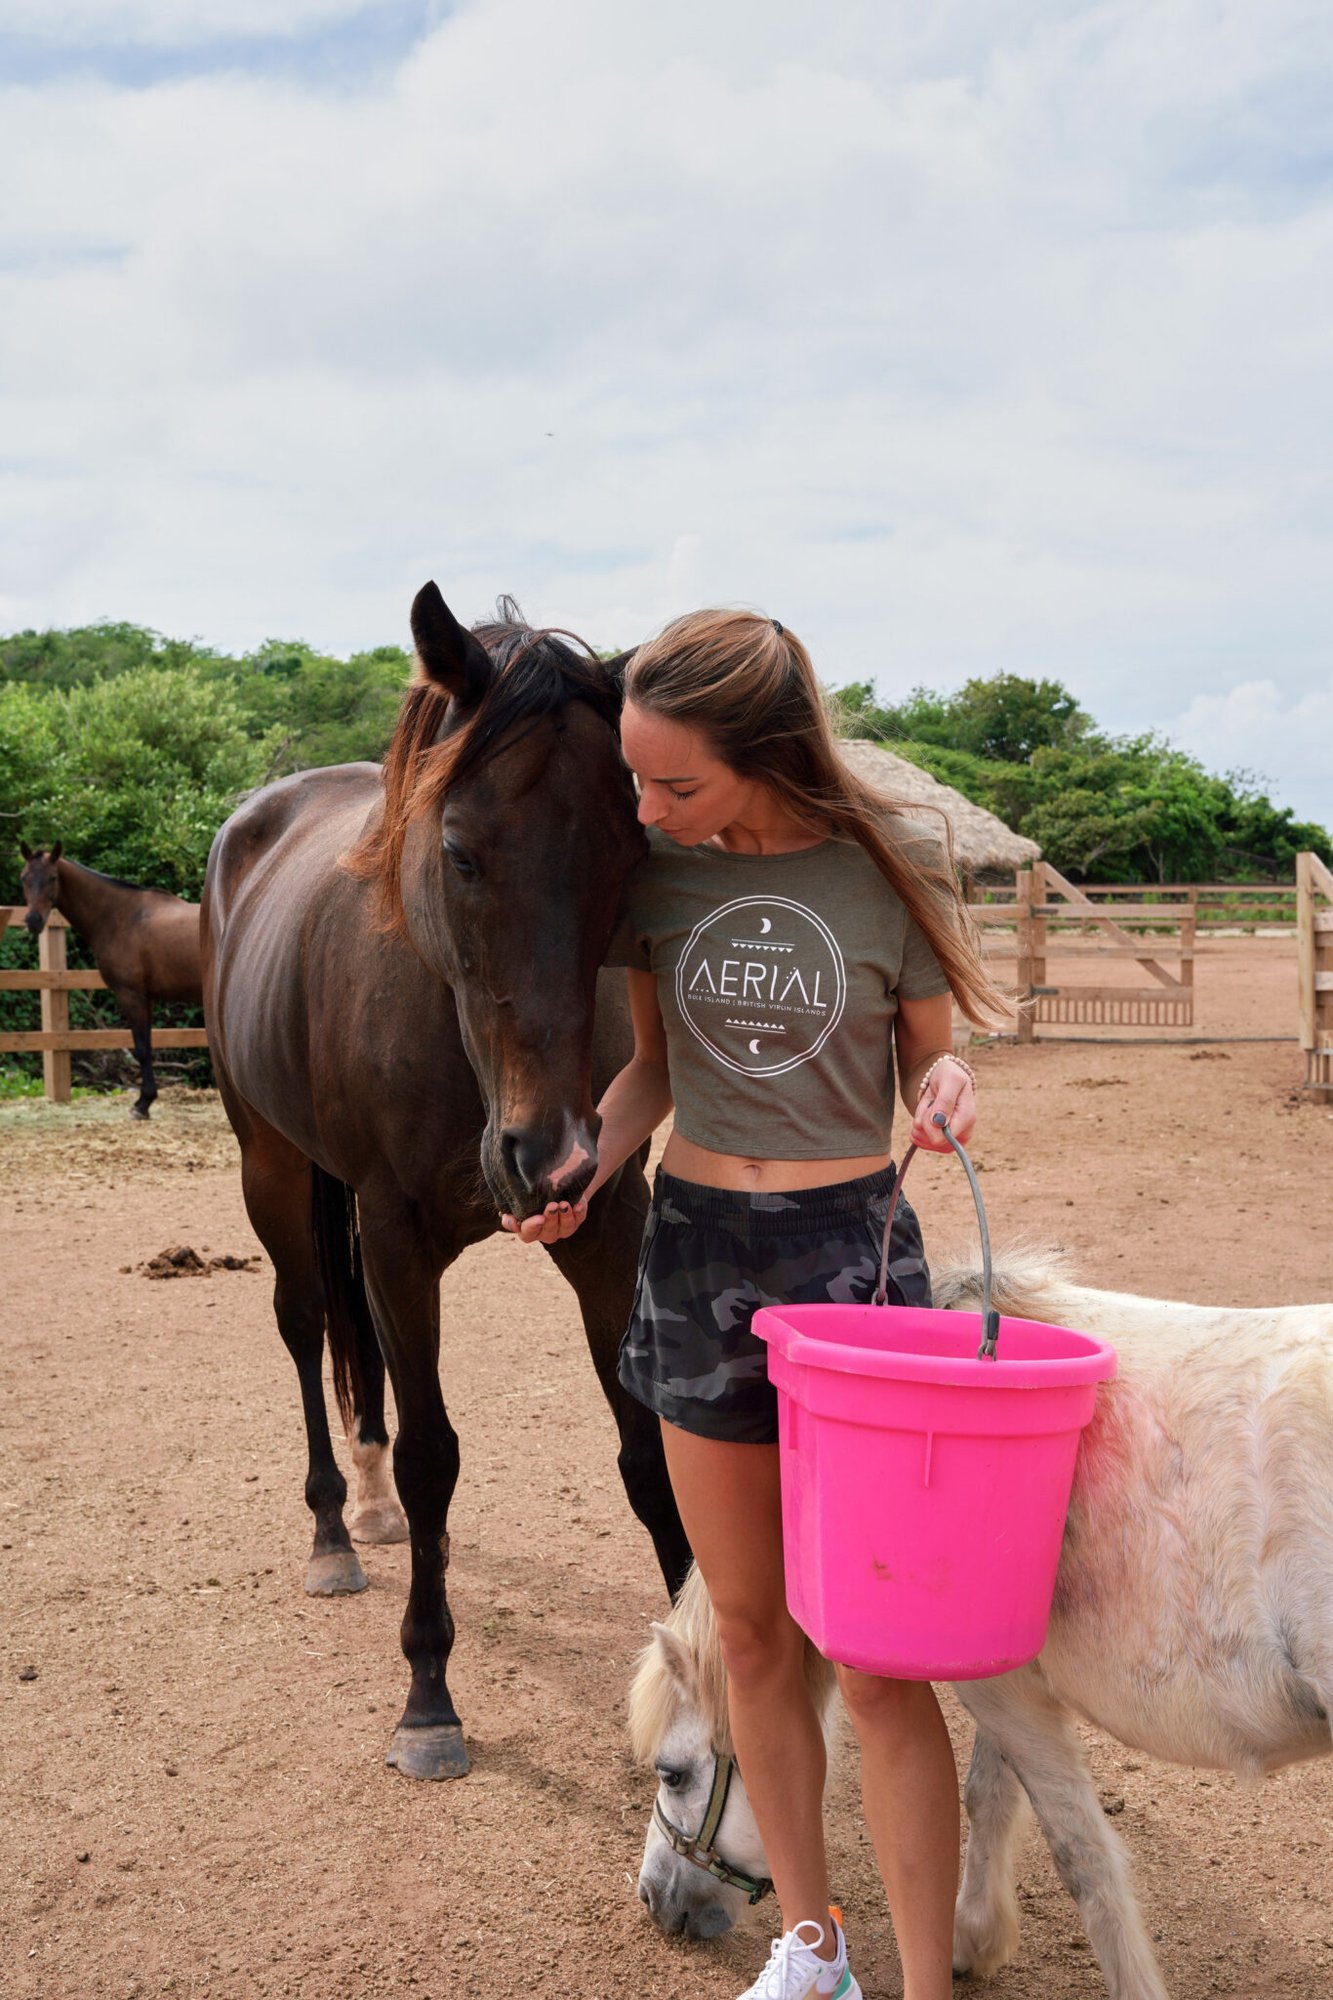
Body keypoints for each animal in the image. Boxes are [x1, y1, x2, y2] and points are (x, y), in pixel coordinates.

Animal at [17, 842, 203, 1118]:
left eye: (52, 878)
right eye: (24, 878)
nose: (33, 921)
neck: (122, 916)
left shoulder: (131, 995)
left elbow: (142, 1049)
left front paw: (142, 1104)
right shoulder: (145, 997)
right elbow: (147, 1046)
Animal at [202, 582, 691, 1783]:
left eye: (630, 853)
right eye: (462, 852)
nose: (543, 1150)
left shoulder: (607, 1221)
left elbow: (644, 1448)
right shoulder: (394, 1232)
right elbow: (433, 1455)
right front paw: (428, 1692)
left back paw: (370, 1510)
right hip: (270, 1165)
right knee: (302, 1324)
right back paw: (336, 1529)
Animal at [628, 1251, 1333, 2000]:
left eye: (671, 1773)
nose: (654, 1899)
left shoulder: (1005, 1697)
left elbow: (1082, 1859)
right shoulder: (1008, 1683)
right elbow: (987, 1796)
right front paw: (973, 1938)